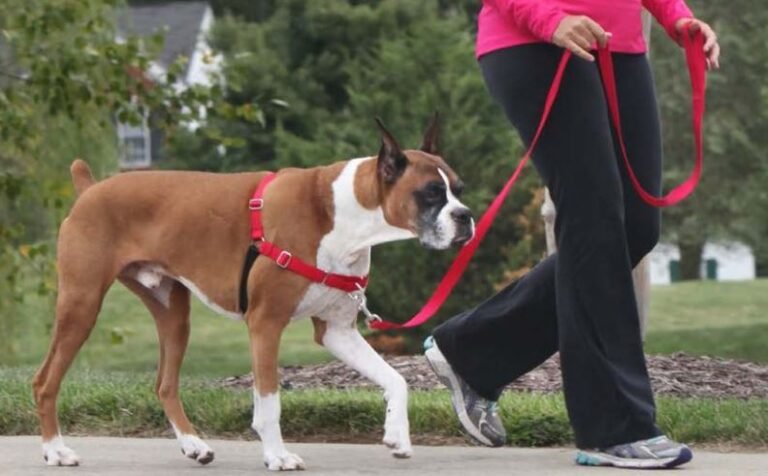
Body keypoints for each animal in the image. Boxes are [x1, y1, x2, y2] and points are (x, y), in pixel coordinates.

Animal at [33, 116, 474, 468]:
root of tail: (90, 189)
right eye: (431, 193)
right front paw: (277, 456)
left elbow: (395, 379)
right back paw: (56, 450)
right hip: (81, 304)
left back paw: (194, 445)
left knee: (165, 384)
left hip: (173, 315)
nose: (466, 216)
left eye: (459, 188)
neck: (344, 213)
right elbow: (269, 401)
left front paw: (397, 434)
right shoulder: (266, 324)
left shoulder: (338, 331)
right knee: (45, 381)